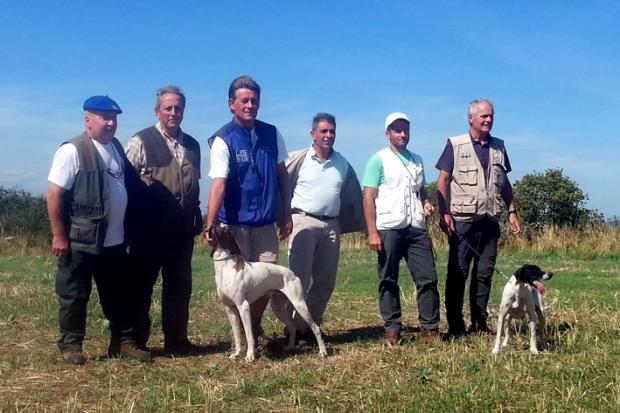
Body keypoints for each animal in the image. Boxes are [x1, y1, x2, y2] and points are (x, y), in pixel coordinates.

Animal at [208, 222, 326, 360]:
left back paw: (323, 351)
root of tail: (292, 273)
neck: (225, 267)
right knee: (292, 327)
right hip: (278, 308)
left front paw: (250, 356)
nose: (214, 223)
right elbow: (237, 334)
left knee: (315, 327)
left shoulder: (243, 306)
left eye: (226, 229)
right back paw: (290, 347)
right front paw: (237, 353)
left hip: (300, 305)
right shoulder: (230, 309)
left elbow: (249, 334)